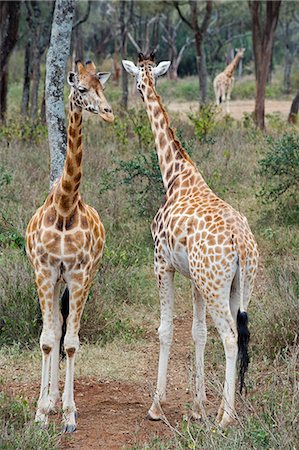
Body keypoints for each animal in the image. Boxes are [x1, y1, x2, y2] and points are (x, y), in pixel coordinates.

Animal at [123, 53, 258, 428]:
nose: (140, 91)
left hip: (216, 285)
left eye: (138, 80)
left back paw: (226, 417)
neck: (174, 175)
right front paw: (197, 406)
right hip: (239, 286)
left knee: (230, 337)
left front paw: (156, 406)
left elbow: (166, 330)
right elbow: (198, 333)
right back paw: (223, 408)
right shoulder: (196, 279)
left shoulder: (161, 264)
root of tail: (242, 244)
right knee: (238, 333)